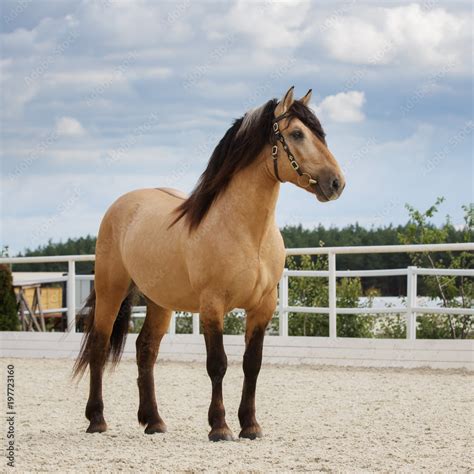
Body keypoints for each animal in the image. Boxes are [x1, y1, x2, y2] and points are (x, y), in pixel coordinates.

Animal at [75, 88, 348, 440]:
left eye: (320, 133)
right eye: (298, 133)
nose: (336, 183)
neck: (246, 232)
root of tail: (122, 205)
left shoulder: (263, 307)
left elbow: (252, 364)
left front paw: (251, 425)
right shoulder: (212, 305)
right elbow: (217, 364)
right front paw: (220, 427)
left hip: (160, 302)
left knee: (146, 350)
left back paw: (154, 421)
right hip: (112, 290)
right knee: (98, 345)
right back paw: (97, 419)